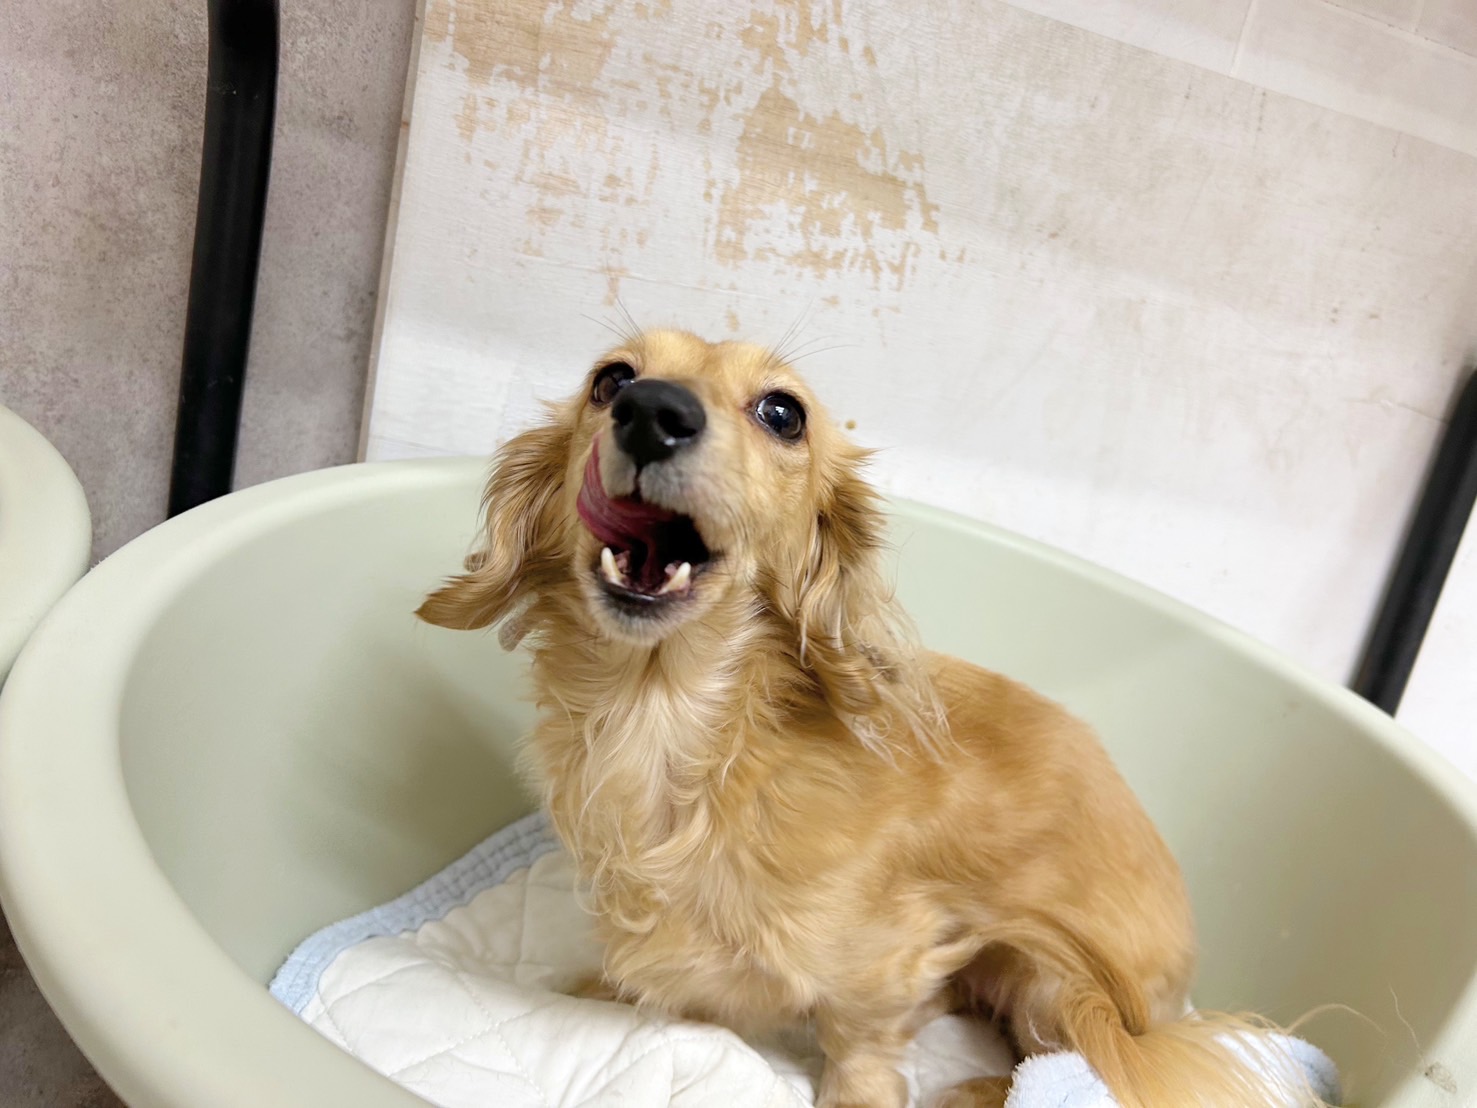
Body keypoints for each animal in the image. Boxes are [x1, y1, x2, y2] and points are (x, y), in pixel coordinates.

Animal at [419, 329, 1313, 1108]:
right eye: (609, 380)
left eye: (782, 413)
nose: (651, 410)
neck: (671, 727)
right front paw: (597, 990)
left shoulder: (890, 960)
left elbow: (861, 1038)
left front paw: (861, 1091)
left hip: (1057, 978)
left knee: (1057, 1063)